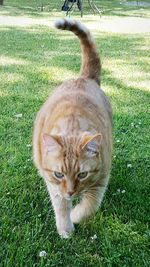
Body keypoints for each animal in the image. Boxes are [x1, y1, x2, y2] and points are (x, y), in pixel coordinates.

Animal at [32, 17, 112, 239]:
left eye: (82, 175)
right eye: (59, 174)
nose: (71, 192)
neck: (72, 125)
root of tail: (84, 77)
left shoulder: (101, 180)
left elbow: (90, 206)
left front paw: (76, 215)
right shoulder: (53, 184)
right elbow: (60, 206)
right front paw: (65, 227)